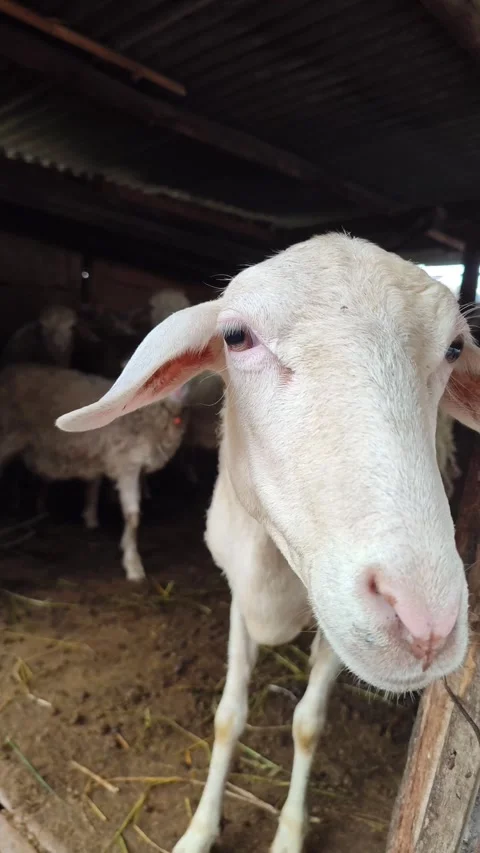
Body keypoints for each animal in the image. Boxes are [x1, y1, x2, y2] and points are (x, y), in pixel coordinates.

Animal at [57, 234, 479, 853]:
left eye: (453, 349)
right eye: (236, 337)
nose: (426, 621)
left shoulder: (334, 628)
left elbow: (307, 725)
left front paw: (288, 834)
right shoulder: (239, 593)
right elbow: (228, 716)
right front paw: (199, 830)